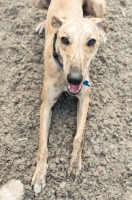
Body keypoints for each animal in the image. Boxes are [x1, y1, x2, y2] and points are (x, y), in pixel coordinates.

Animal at [31, 0, 106, 195]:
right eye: (64, 39)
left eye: (91, 41)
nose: (75, 79)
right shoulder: (46, 105)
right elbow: (42, 145)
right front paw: (39, 175)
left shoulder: (84, 100)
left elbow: (78, 137)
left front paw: (74, 165)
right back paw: (43, 23)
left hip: (99, 6)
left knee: (100, 20)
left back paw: (102, 31)